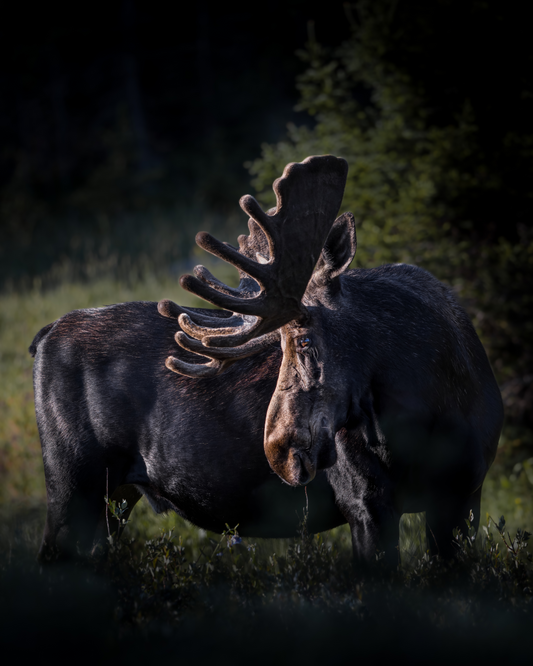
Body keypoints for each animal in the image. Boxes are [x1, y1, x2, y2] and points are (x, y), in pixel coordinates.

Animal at [31, 154, 500, 560]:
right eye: (282, 345)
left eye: (304, 340)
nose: (278, 450)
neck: (429, 412)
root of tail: (43, 335)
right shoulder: (366, 504)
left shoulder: (465, 496)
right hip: (72, 484)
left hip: (115, 498)